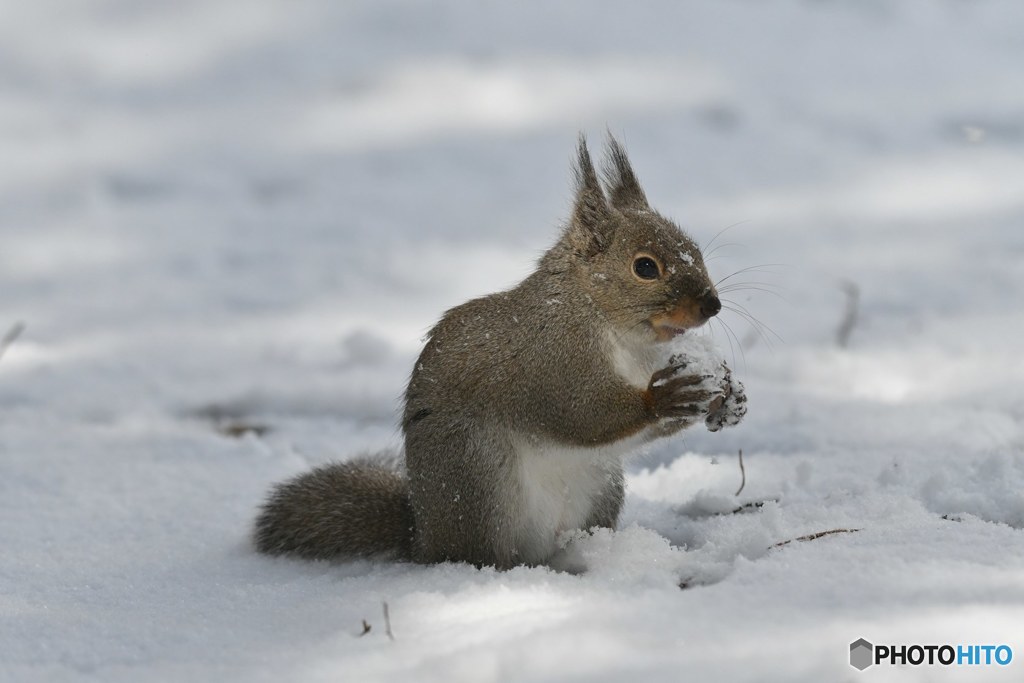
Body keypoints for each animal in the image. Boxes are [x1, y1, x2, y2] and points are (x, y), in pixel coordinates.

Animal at [253, 136, 753, 569]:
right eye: (645, 267)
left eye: (694, 248)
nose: (712, 304)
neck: (613, 328)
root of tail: (423, 538)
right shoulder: (553, 358)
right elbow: (582, 413)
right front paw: (663, 397)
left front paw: (728, 396)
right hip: (477, 478)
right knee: (479, 552)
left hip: (601, 487)